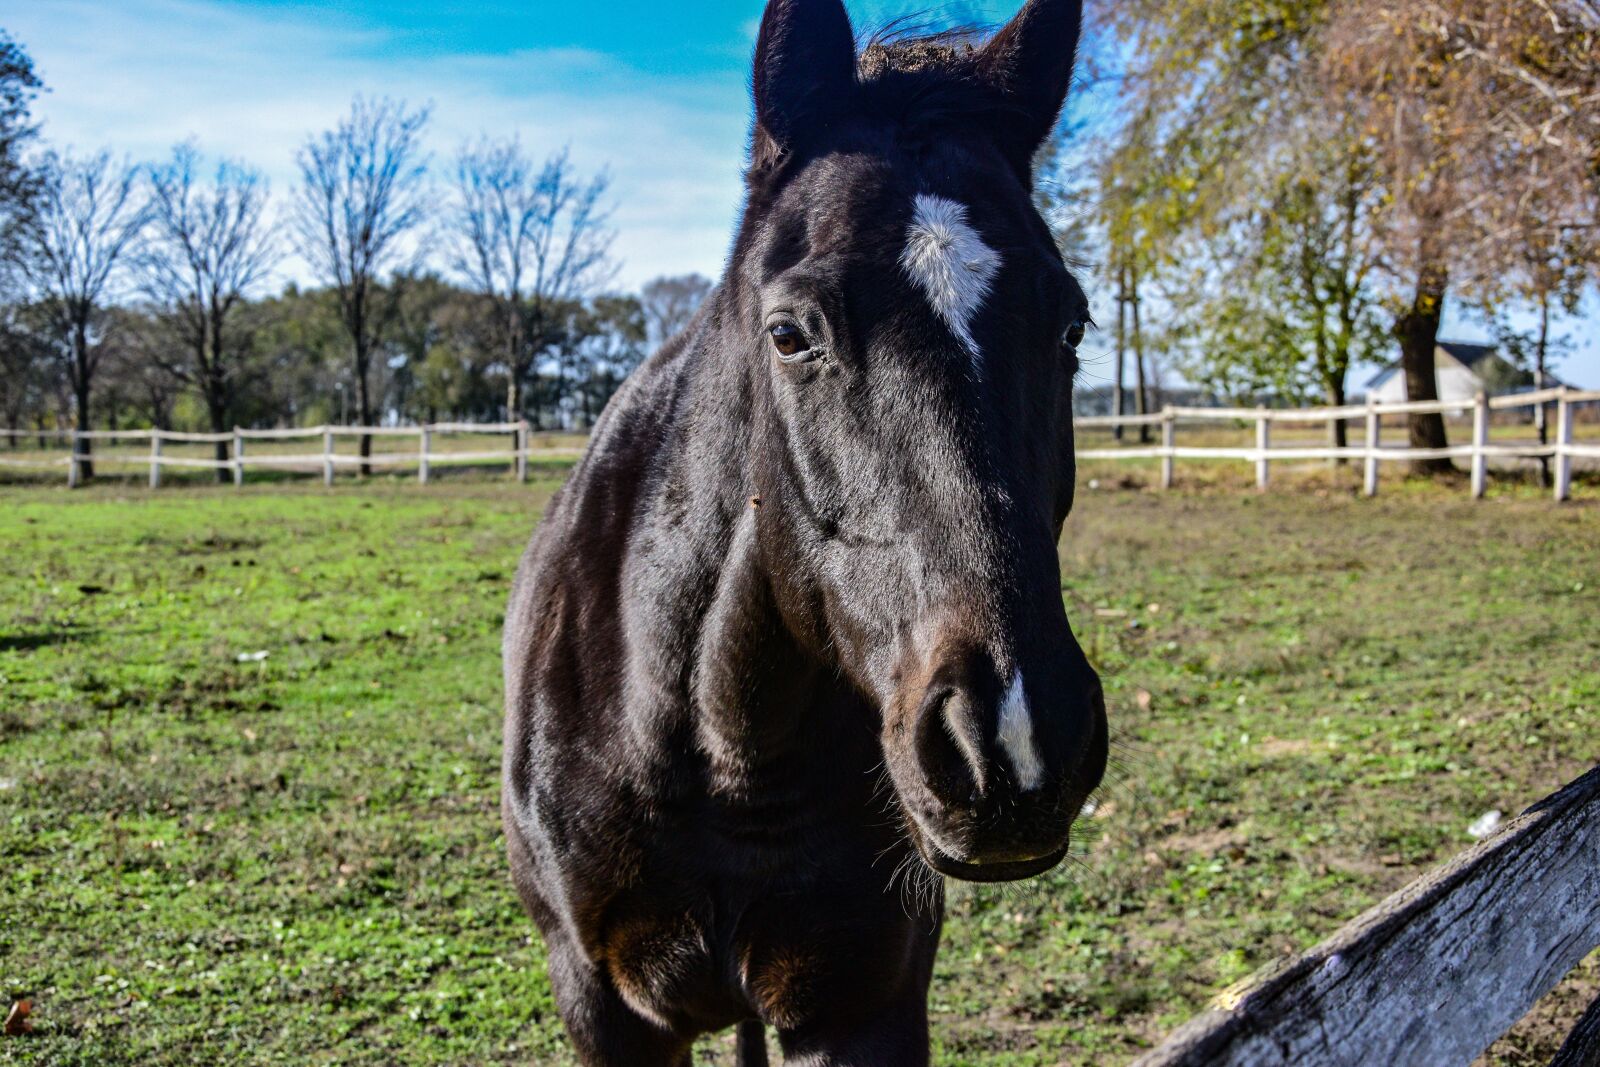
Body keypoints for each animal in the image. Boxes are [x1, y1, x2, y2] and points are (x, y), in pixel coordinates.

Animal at [502, 0, 1107, 1061]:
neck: (715, 750)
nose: (1016, 738)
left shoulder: (861, 1000)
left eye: (1070, 325)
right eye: (789, 334)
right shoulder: (603, 1008)